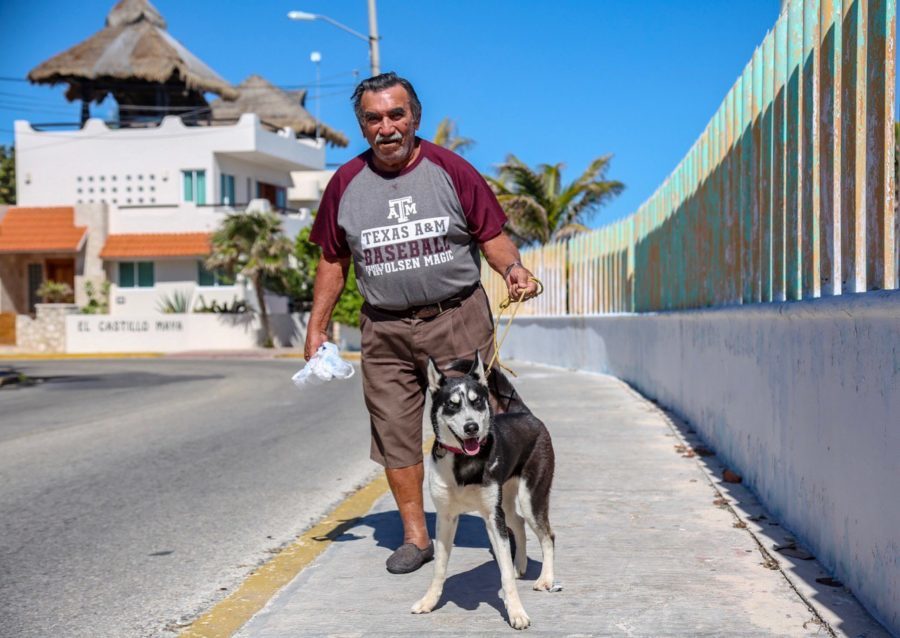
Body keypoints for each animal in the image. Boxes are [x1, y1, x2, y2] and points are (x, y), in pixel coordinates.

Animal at [414, 356, 556, 632]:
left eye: (477, 401)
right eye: (452, 404)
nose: (471, 427)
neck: (463, 461)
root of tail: (526, 414)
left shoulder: (492, 517)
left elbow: (504, 575)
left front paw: (516, 613)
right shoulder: (446, 518)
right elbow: (439, 567)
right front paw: (429, 601)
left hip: (530, 498)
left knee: (547, 535)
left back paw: (545, 579)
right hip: (507, 503)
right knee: (518, 522)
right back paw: (519, 566)